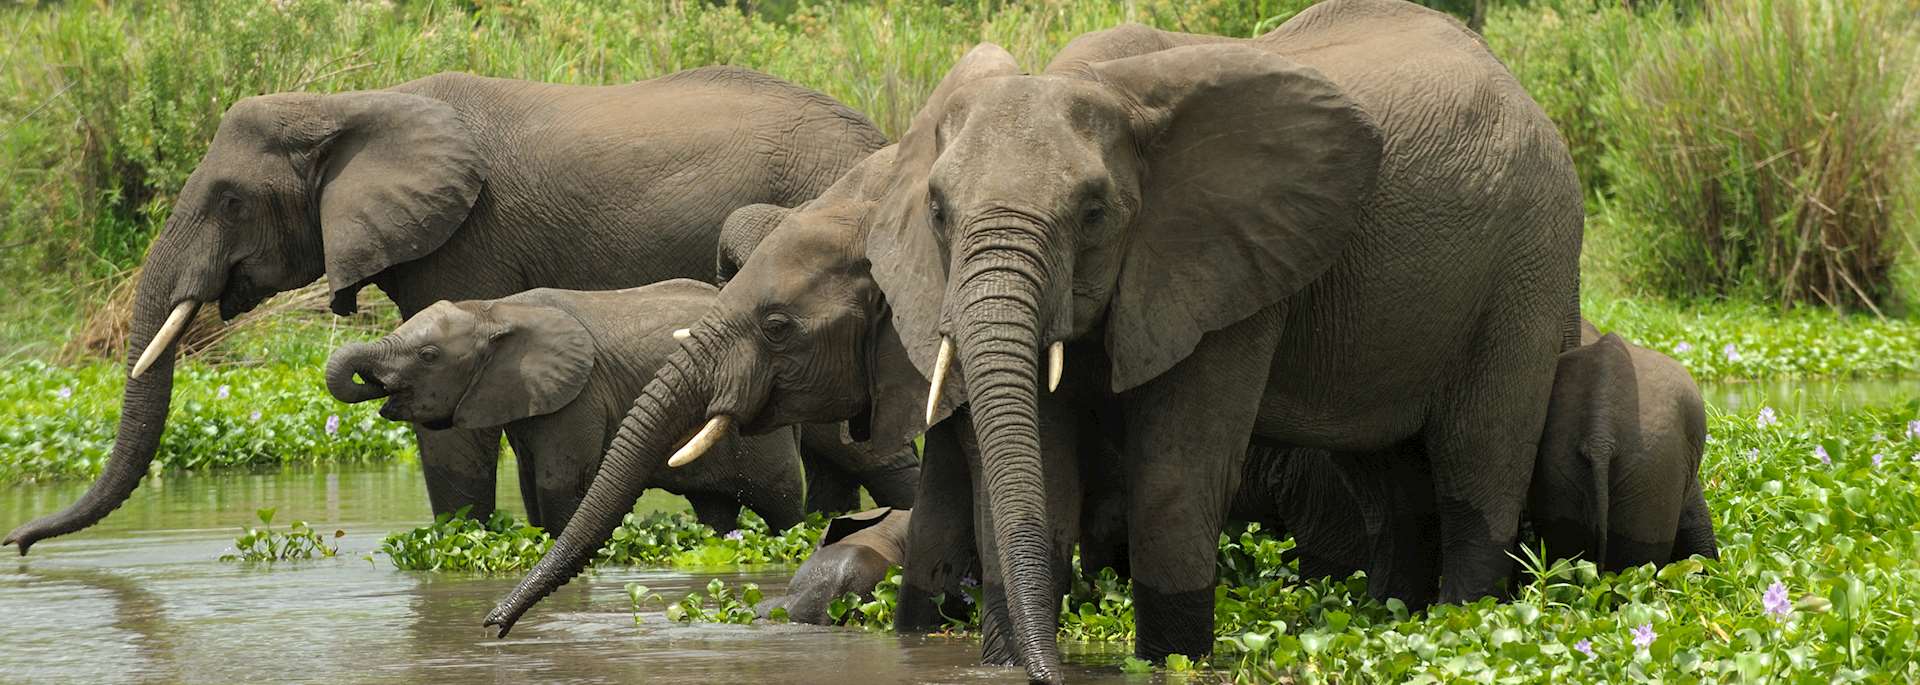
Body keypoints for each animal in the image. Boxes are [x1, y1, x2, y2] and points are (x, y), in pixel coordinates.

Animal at [324, 280, 808, 533]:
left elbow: (557, 485)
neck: (495, 310)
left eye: (428, 356)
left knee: (781, 500)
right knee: (713, 509)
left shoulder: (580, 397)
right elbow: (528, 489)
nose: (376, 385)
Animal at [859, 1, 1584, 676]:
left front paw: (1170, 662)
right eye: (938, 211)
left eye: (1093, 213)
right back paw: (1398, 618)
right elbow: (1045, 461)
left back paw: (1469, 628)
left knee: (1478, 463)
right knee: (1394, 485)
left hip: (1527, 265)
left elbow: (1174, 473)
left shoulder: (1224, 266)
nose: (1049, 670)